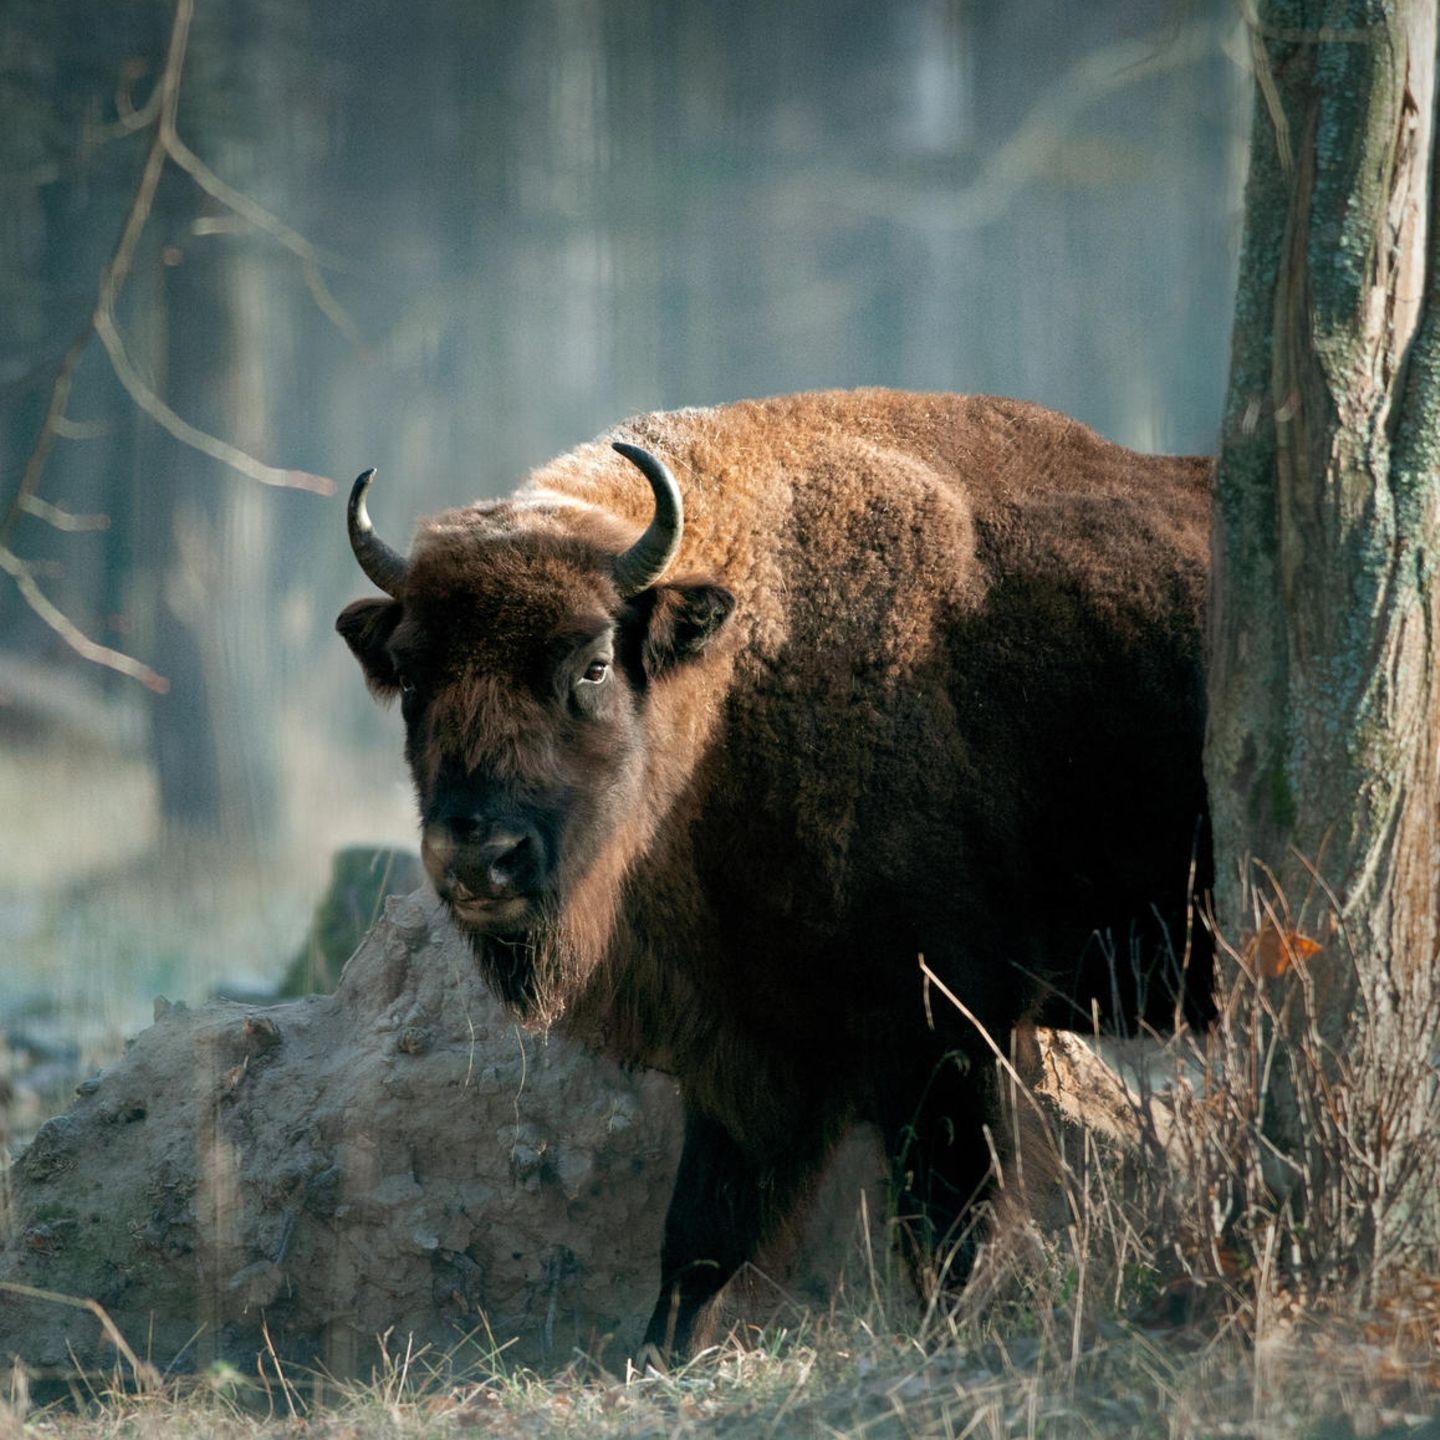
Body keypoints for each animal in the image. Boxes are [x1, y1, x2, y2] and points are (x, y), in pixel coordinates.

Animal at [339, 388, 1215, 1353]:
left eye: (594, 663)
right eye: (410, 678)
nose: (478, 858)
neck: (740, 672)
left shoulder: (947, 1027)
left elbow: (949, 1228)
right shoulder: (751, 1048)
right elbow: (699, 1242)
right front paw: (659, 1353)